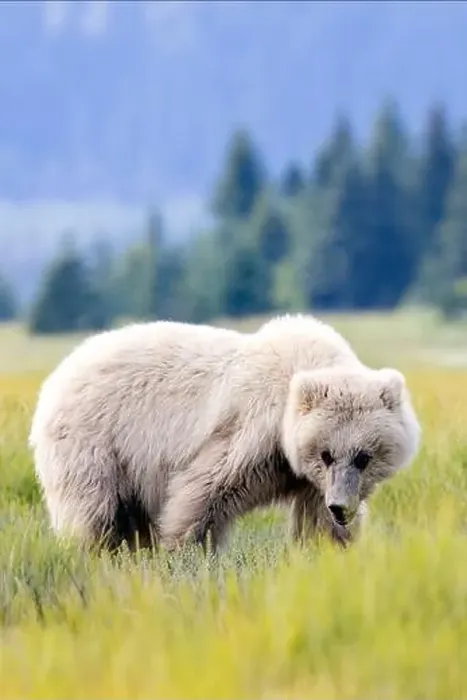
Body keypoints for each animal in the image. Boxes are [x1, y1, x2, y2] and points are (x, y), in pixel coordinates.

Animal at [29, 313, 421, 554]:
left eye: (363, 456)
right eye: (326, 454)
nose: (341, 506)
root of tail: (56, 377)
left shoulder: (308, 480)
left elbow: (317, 525)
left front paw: (331, 550)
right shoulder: (252, 432)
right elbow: (204, 492)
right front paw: (186, 554)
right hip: (96, 444)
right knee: (94, 516)